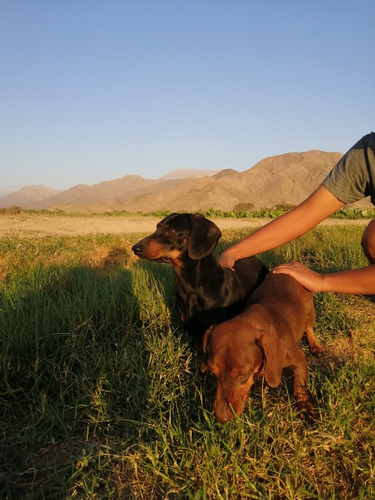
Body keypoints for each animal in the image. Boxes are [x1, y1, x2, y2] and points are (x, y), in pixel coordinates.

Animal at [201, 274, 324, 422]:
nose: (221, 418)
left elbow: (299, 386)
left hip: (309, 311)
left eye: (243, 373)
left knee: (309, 327)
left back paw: (315, 345)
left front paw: (306, 408)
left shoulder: (298, 359)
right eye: (212, 371)